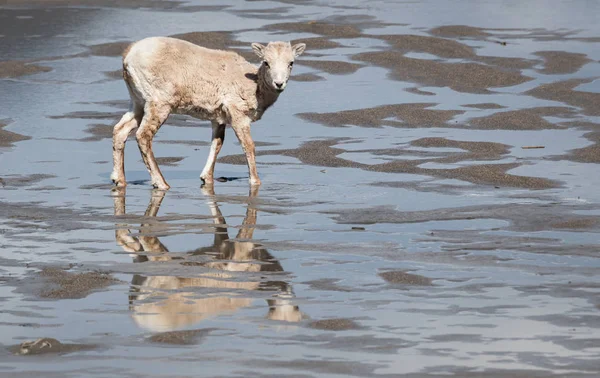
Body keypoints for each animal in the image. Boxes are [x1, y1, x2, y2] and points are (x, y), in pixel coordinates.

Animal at [109, 36, 304, 189]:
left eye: (291, 63)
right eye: (266, 62)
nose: (279, 84)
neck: (255, 86)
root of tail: (128, 55)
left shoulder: (219, 118)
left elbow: (217, 144)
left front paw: (206, 178)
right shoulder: (238, 114)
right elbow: (248, 145)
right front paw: (255, 181)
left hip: (138, 102)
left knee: (120, 130)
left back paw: (119, 180)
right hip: (159, 102)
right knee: (143, 136)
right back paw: (161, 183)